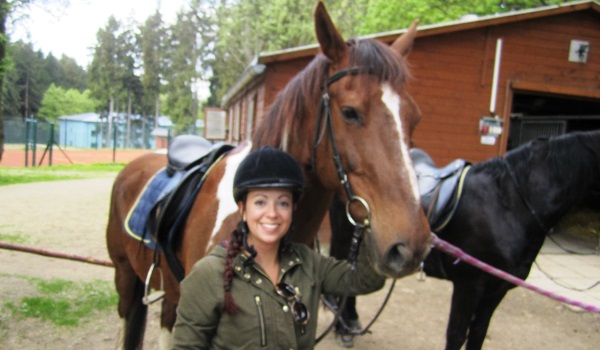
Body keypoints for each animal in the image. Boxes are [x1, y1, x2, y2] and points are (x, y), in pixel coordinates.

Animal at [328, 131, 600, 350]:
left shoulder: (497, 290)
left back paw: (351, 323)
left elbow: (478, 334)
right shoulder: (469, 286)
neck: (510, 204)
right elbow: (457, 335)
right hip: (345, 238)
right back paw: (343, 331)